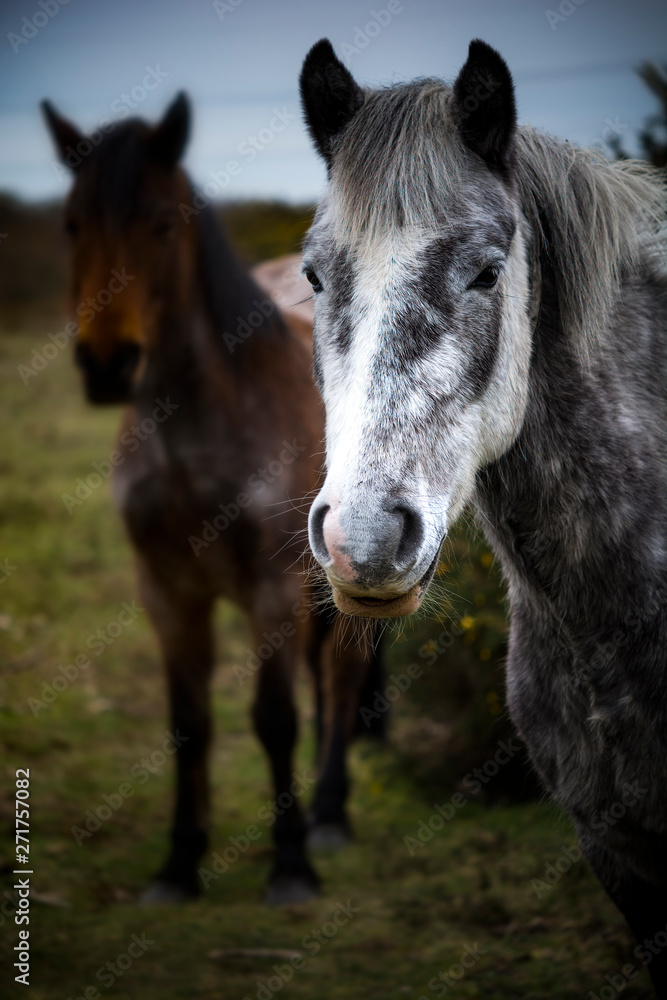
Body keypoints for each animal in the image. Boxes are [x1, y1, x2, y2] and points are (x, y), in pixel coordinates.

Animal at [41, 92, 383, 906]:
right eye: (72, 224)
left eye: (164, 224)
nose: (109, 366)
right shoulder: (168, 592)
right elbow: (188, 724)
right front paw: (179, 863)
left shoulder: (269, 588)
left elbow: (273, 716)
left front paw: (291, 864)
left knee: (342, 675)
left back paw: (329, 815)